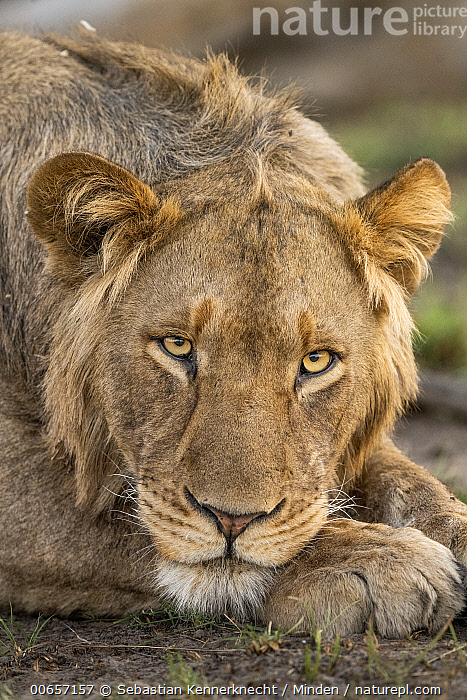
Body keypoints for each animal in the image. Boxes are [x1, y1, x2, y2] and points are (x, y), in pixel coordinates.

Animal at [0, 30, 466, 639]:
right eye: (177, 347)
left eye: (316, 361)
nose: (232, 520)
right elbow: (111, 517)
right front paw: (370, 560)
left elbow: (412, 483)